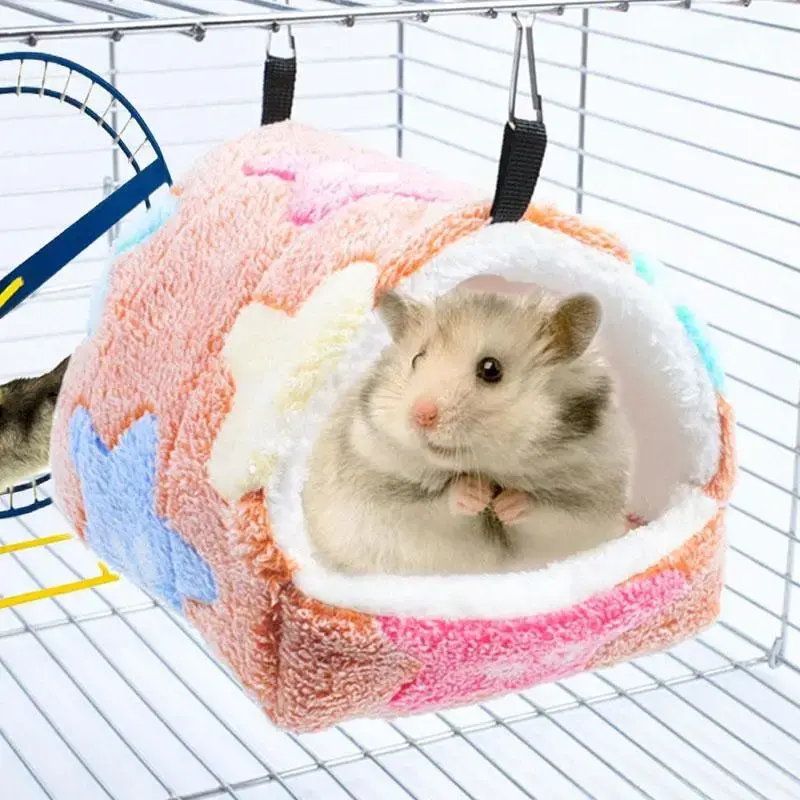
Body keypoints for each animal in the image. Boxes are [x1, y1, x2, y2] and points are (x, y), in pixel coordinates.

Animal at [302, 285, 631, 575]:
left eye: (491, 369)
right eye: (417, 358)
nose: (421, 415)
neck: (486, 468)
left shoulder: (585, 507)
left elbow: (543, 510)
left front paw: (506, 503)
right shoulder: (387, 498)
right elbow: (441, 504)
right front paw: (476, 493)